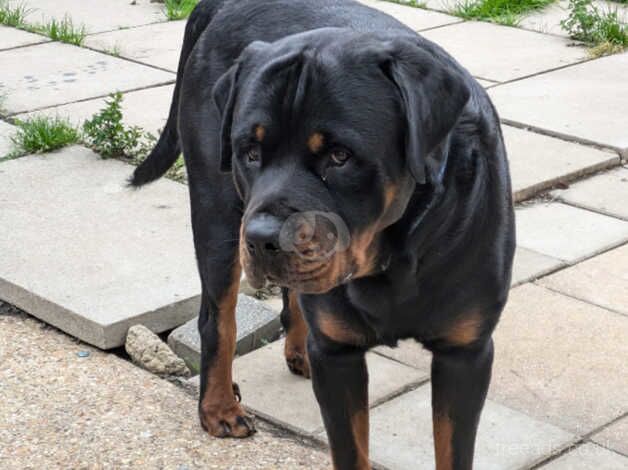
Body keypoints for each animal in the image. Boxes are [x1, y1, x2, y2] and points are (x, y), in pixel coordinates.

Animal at [132, 0, 516, 470]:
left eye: (340, 156)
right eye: (249, 152)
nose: (263, 238)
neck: (395, 257)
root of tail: (225, 5)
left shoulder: (465, 352)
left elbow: (453, 450)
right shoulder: (339, 355)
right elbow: (350, 448)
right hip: (216, 216)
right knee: (217, 317)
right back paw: (219, 406)